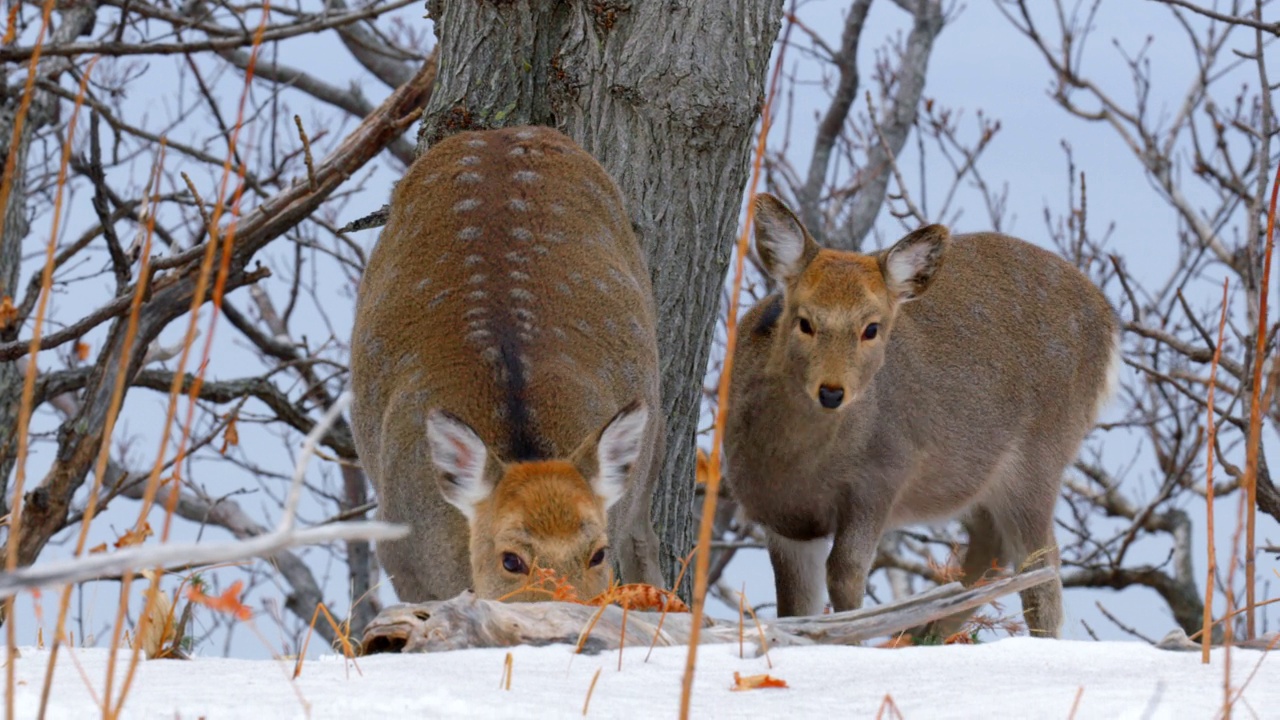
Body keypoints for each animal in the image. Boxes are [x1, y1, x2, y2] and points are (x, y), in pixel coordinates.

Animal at [727, 193, 1126, 635]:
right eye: (804, 321)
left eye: (872, 327)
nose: (831, 392)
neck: (798, 468)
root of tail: (1110, 319)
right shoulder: (781, 517)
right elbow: (795, 606)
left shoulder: (883, 475)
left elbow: (846, 574)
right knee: (992, 547)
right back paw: (927, 631)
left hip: (1044, 450)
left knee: (1041, 570)